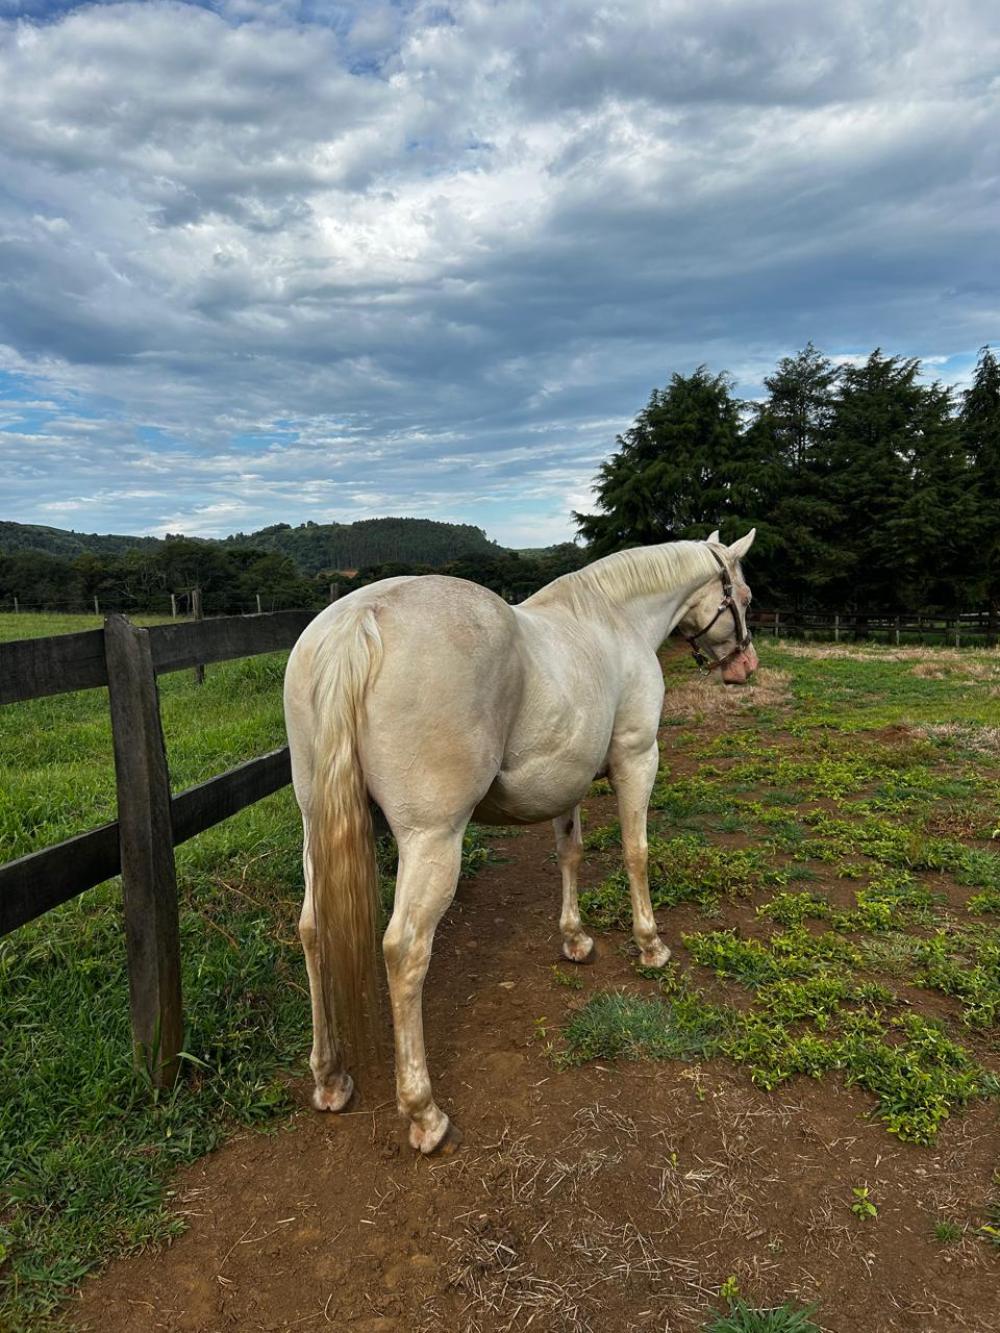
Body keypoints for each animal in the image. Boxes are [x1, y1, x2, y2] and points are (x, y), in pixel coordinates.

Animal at [283, 530, 757, 1154]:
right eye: (743, 595)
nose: (744, 666)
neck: (614, 620)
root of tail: (359, 619)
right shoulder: (637, 759)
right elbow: (636, 853)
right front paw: (651, 946)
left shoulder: (569, 782)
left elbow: (570, 853)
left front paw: (575, 940)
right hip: (432, 839)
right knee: (404, 950)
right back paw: (425, 1114)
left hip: (316, 825)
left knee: (313, 931)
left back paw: (330, 1078)